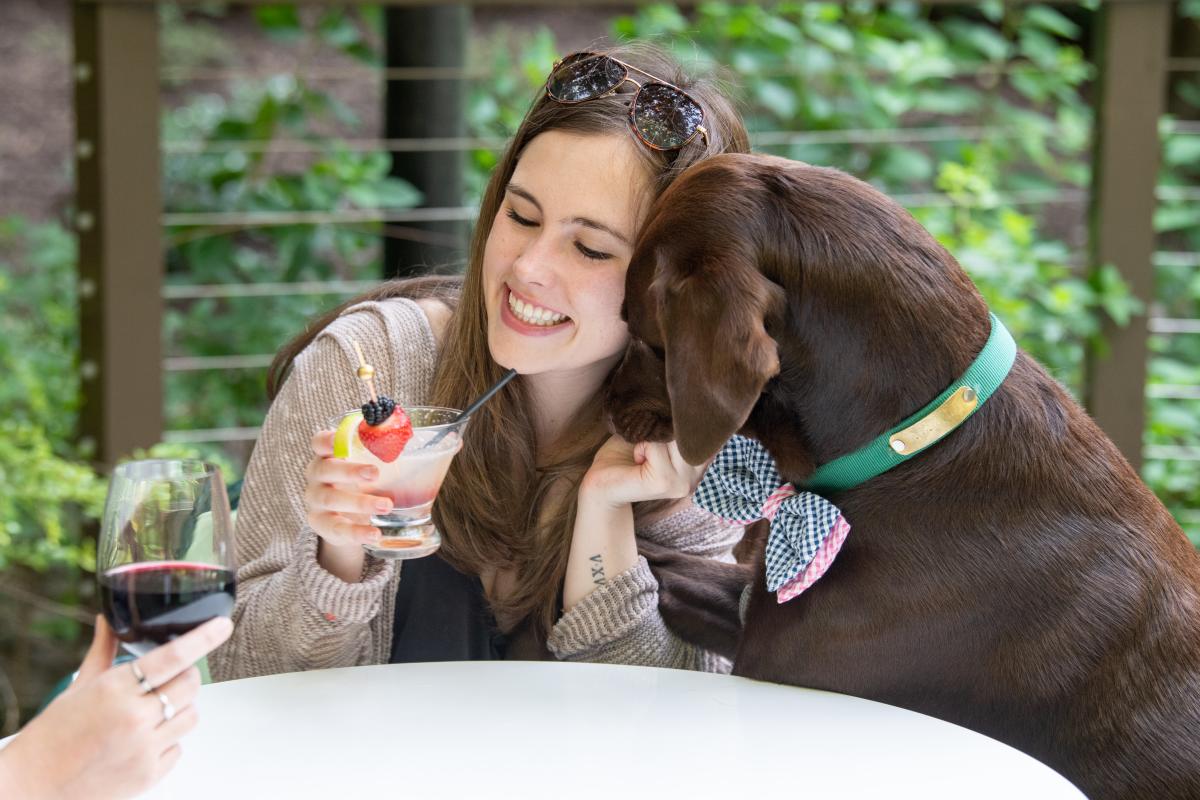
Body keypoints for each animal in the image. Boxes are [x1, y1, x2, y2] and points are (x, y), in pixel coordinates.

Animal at [614, 153, 1200, 796]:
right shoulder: (757, 603)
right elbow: (670, 567)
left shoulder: (777, 657)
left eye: (638, 328)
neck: (913, 446)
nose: (605, 403)